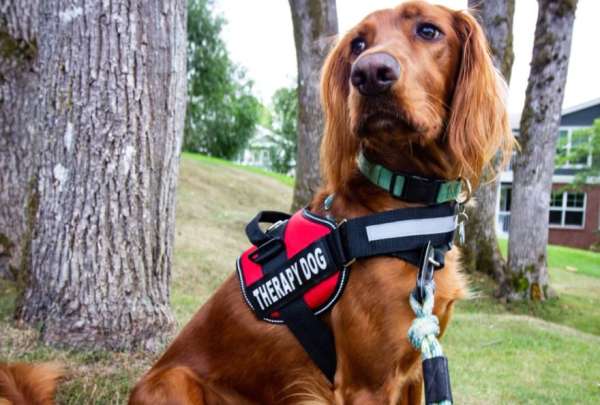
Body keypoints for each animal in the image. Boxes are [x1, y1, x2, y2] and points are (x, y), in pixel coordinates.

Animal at [130, 1, 510, 402]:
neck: (405, 205)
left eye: (428, 30)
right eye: (358, 44)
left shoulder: (416, 369)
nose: (369, 74)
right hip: (172, 380)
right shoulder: (366, 384)